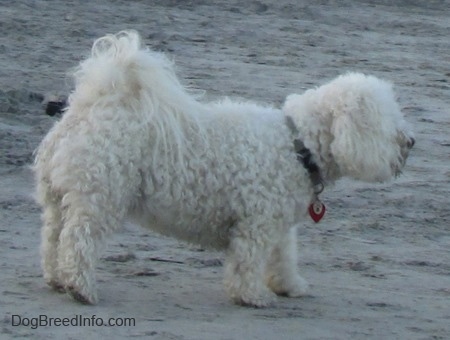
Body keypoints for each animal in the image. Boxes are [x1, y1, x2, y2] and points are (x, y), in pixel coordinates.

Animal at [34, 31, 414, 308]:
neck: (296, 144)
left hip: (59, 198)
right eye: (385, 123)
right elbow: (248, 261)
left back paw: (55, 279)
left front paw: (289, 286)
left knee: (53, 239)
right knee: (78, 241)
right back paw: (81, 288)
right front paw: (252, 296)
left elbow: (283, 256)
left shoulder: (278, 224)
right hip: (99, 198)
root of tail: (89, 107)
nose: (411, 141)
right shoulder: (256, 224)